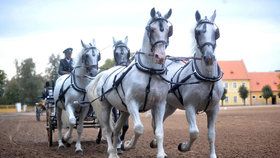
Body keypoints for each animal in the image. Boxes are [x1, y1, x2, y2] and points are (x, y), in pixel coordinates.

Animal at [87, 8, 174, 158]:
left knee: (116, 129)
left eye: (168, 30)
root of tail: (103, 74)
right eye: (151, 29)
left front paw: (161, 153)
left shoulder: (160, 104)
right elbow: (139, 128)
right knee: (107, 129)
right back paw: (112, 151)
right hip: (105, 106)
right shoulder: (132, 102)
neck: (150, 72)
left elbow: (159, 131)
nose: (160, 57)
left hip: (123, 109)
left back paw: (116, 148)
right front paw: (128, 145)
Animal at [150, 10, 224, 157]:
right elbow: (194, 132)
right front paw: (183, 146)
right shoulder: (190, 106)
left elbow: (212, 134)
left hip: (170, 106)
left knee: (159, 122)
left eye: (216, 32)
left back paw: (155, 142)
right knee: (156, 123)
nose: (209, 57)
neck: (206, 78)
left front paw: (213, 155)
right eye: (197, 32)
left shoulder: (214, 109)